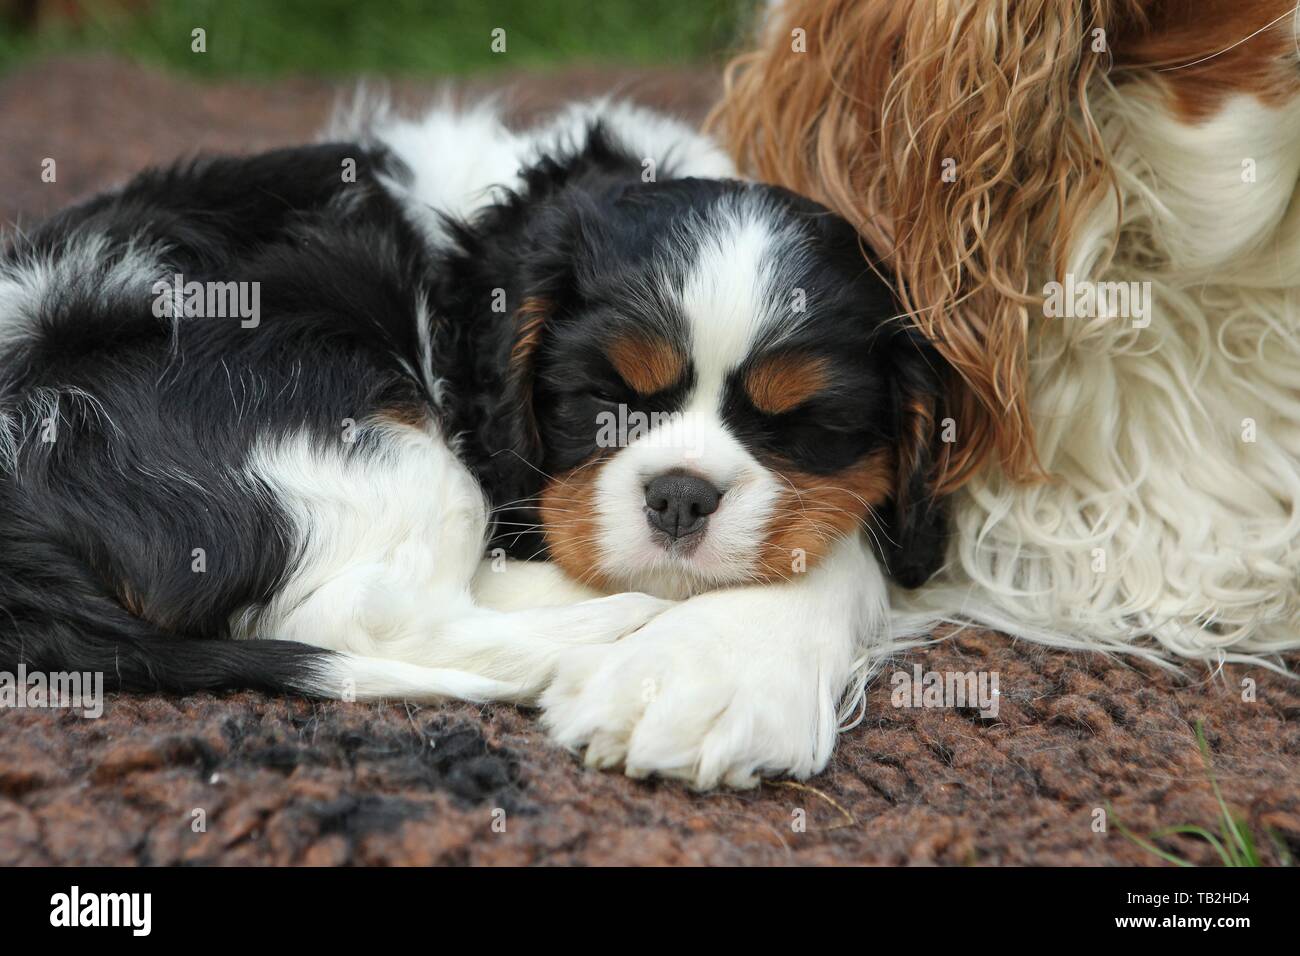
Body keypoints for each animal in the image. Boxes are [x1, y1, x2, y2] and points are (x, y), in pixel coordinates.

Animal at [2, 100, 956, 790]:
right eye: (603, 400)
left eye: (802, 428)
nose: (681, 495)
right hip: (354, 424)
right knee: (368, 609)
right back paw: (612, 618)